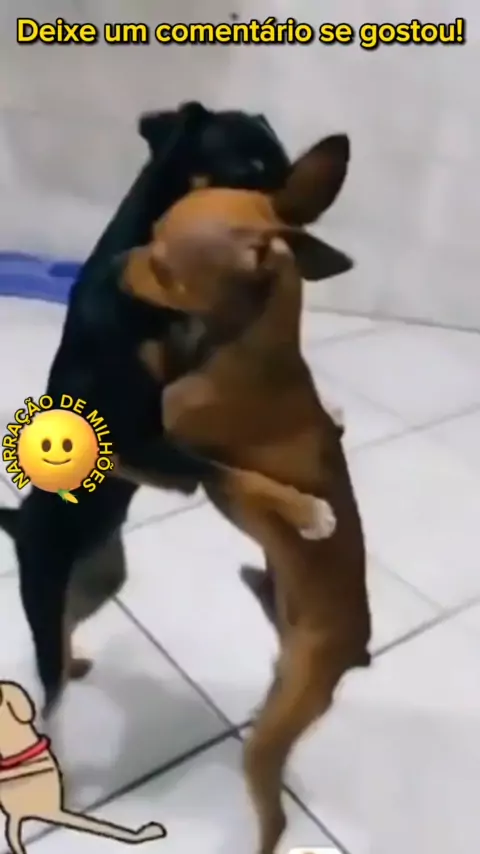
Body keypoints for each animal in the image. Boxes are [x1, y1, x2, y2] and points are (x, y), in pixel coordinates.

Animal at [0, 102, 293, 712]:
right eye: (250, 168)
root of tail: (17, 523)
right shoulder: (139, 435)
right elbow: (232, 471)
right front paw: (304, 509)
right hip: (46, 593)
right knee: (50, 670)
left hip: (103, 576)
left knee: (70, 624)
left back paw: (78, 662)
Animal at [125, 135, 371, 854]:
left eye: (162, 267)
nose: (119, 263)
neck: (246, 340)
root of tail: (358, 649)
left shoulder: (183, 456)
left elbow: (243, 477)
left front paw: (310, 514)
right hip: (282, 678)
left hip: (278, 730)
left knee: (275, 811)